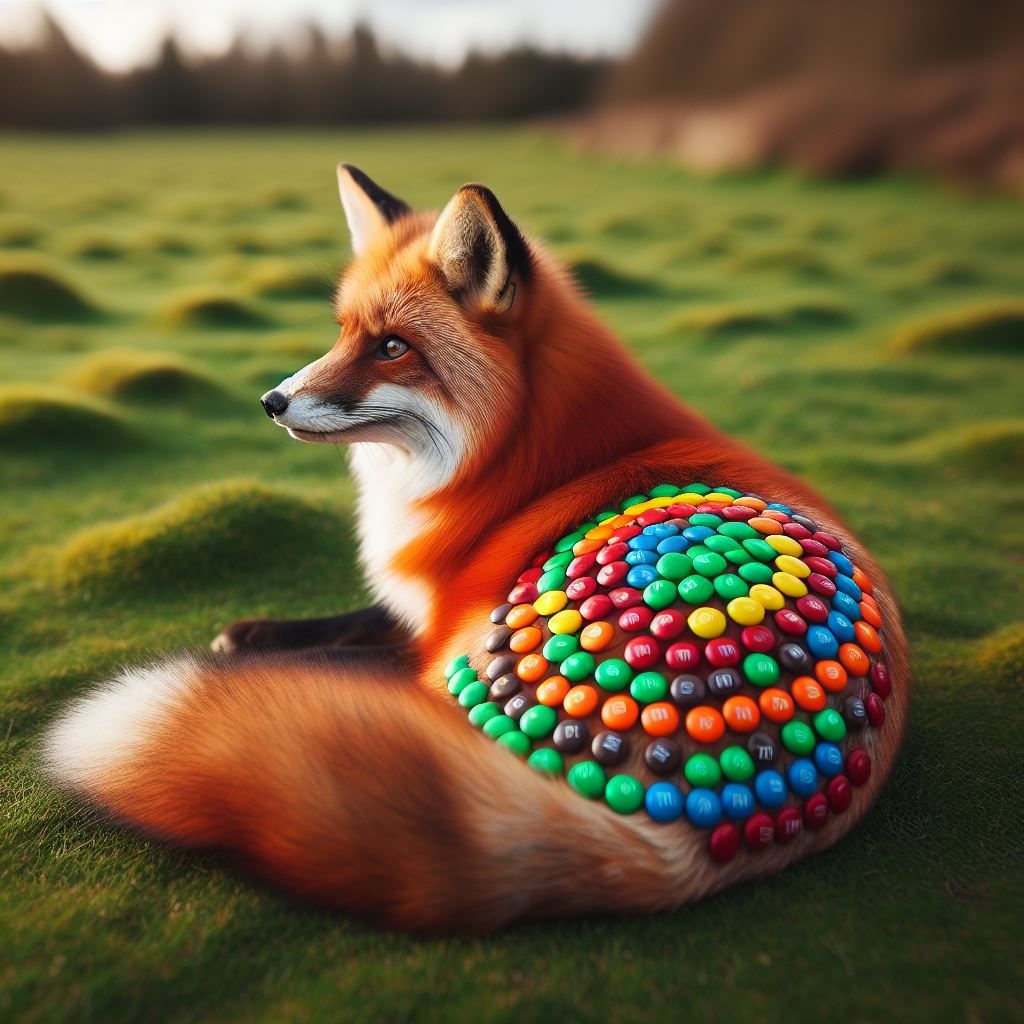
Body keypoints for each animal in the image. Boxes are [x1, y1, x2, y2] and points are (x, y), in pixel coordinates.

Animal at [41, 165, 909, 933]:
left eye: (392, 348)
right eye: (344, 333)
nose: (272, 401)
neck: (529, 456)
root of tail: (678, 839)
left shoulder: (437, 629)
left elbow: (345, 647)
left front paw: (243, 654)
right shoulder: (421, 608)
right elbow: (352, 617)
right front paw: (254, 631)